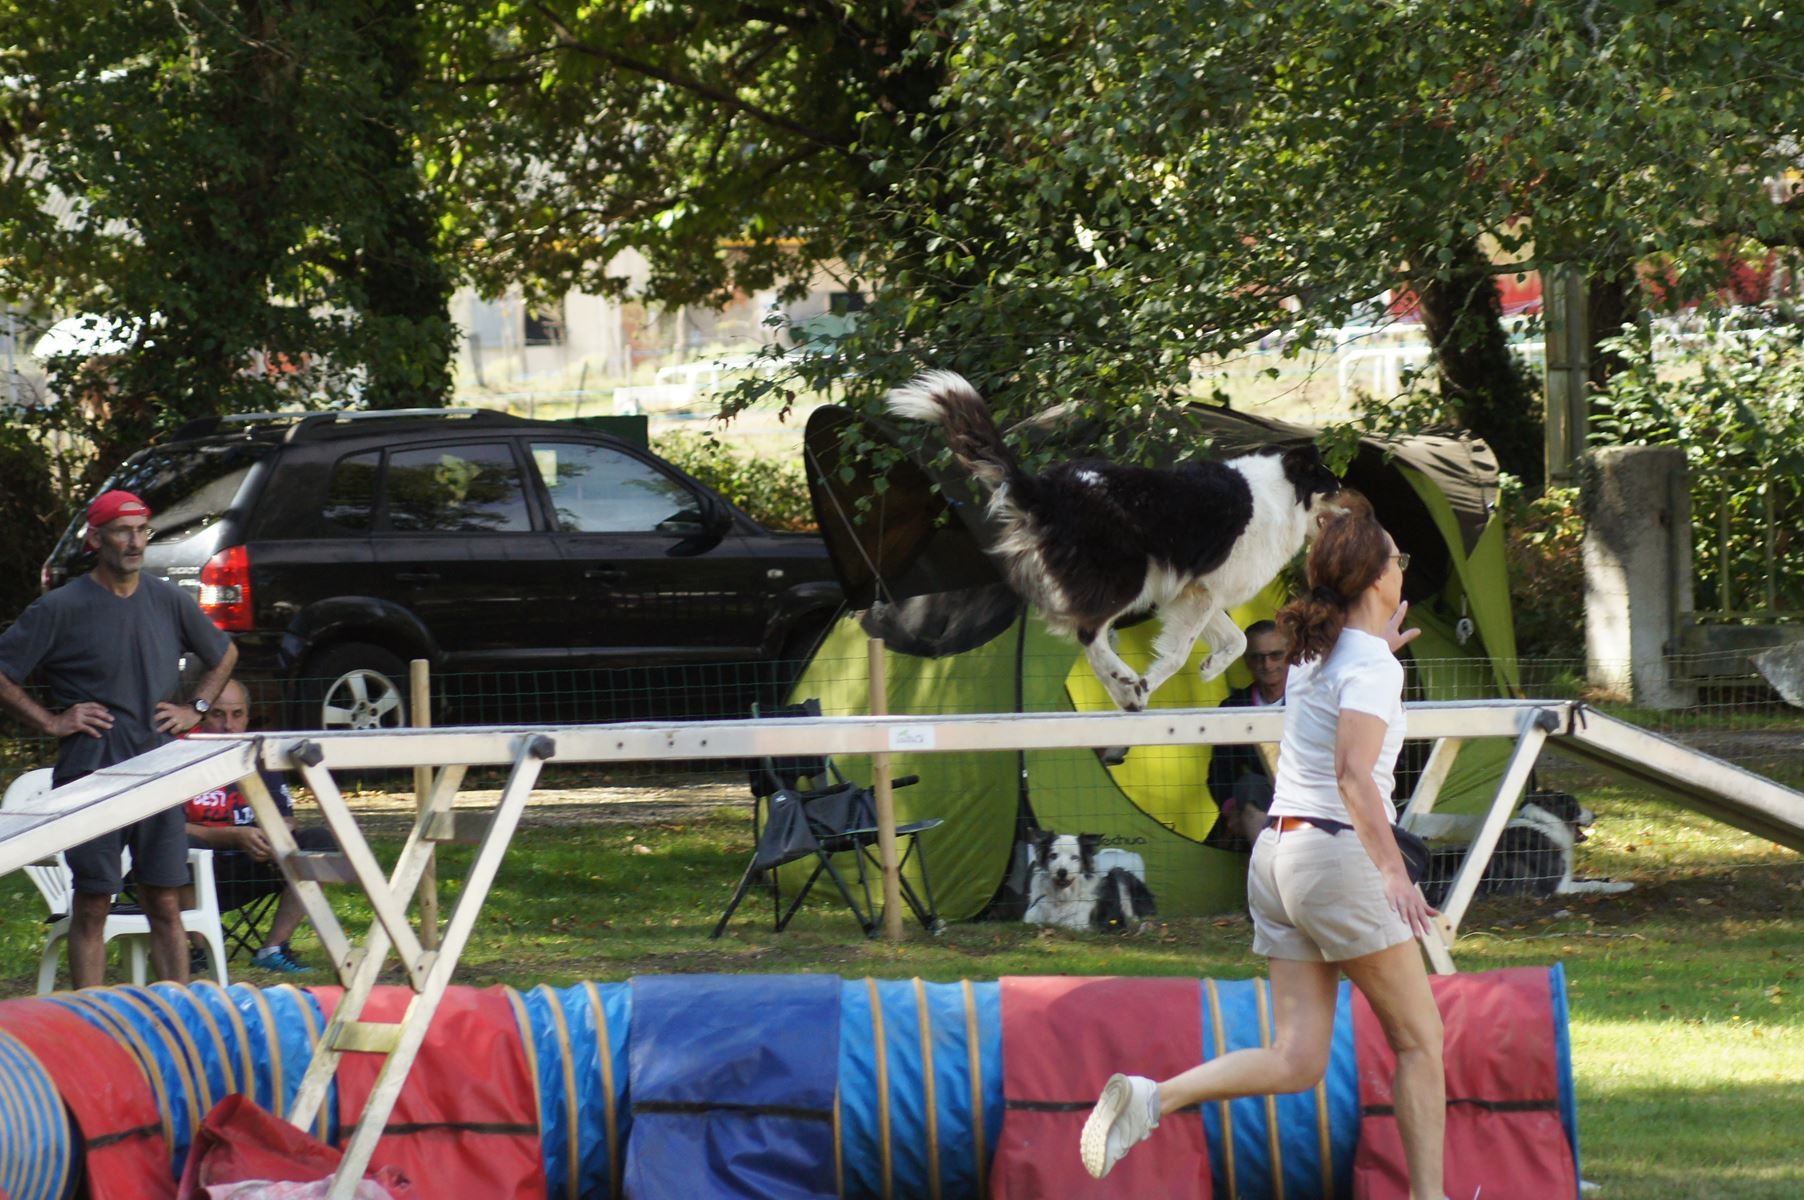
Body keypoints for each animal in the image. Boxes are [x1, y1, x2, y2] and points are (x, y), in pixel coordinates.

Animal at [887, 375, 1342, 707]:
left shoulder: (1195, 591)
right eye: (1331, 481)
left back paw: (1121, 688)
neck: (1280, 491)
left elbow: (1236, 639)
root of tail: (1047, 488)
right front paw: (1148, 682)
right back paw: (1124, 681)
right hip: (1125, 575)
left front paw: (1211, 668)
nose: (1351, 498)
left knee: (1089, 633)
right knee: (1088, 633)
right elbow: (1179, 652)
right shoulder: (1202, 590)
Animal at [1421, 790, 1638, 902]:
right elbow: (1594, 884)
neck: (1546, 823)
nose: (1596, 815)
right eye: (1575, 805)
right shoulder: (1558, 886)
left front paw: (1614, 879)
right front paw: (1623, 885)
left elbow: (1592, 878)